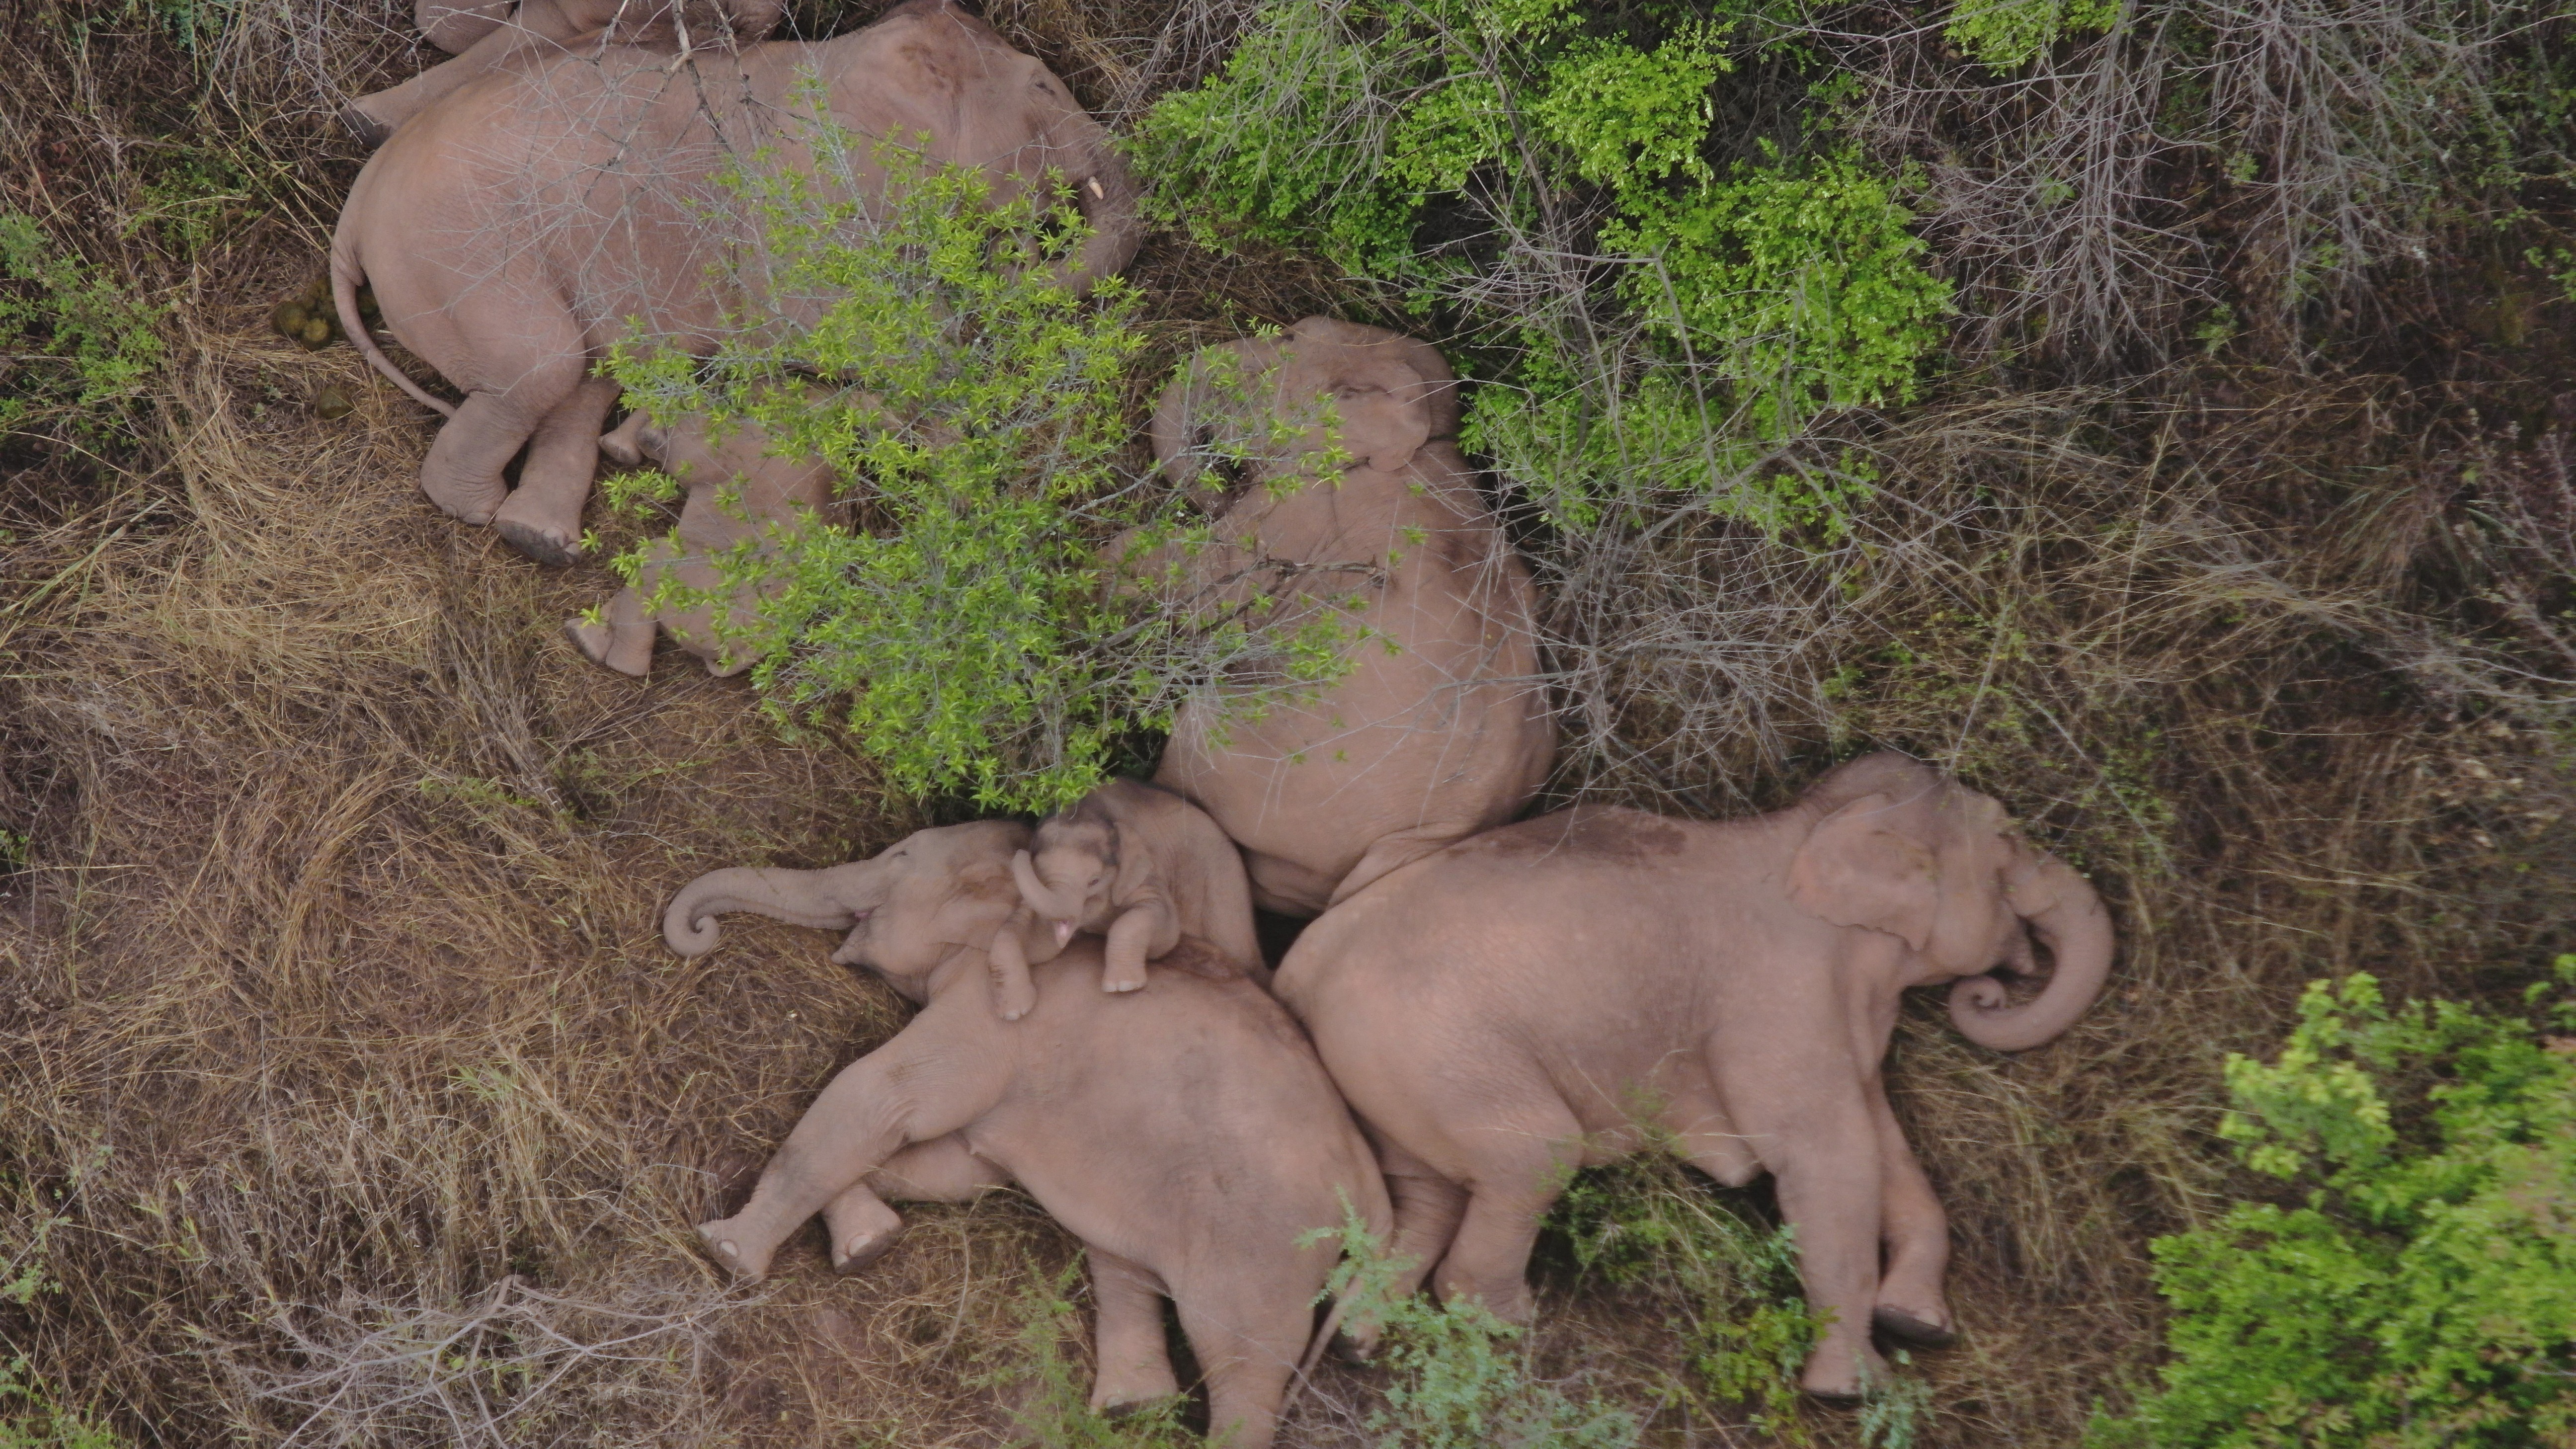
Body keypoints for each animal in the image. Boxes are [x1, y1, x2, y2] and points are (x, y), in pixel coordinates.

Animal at [663, 820, 1392, 1448]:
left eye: (899, 858)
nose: (702, 929)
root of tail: (1373, 1190)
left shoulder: (992, 1015)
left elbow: (882, 1095)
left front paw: (728, 1252)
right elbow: (958, 1168)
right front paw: (868, 1246)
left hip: (1265, 1249)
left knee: (1242, 1360)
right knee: (1121, 1260)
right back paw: (1131, 1408)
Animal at [990, 777, 1264, 1017]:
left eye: (1094, 881)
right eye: (1038, 874)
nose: (1019, 854)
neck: (1098, 814)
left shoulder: (1147, 869)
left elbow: (1164, 929)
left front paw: (1122, 987)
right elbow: (1025, 939)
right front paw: (1014, 1013)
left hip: (1223, 886)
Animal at [1135, 318, 1558, 917]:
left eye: (1287, 341)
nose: (1220, 486)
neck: (1428, 441)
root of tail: (1437, 836)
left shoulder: (1297, 516)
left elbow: (1194, 582)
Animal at [1270, 752, 2117, 1402]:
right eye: (2008, 837)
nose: (1992, 992)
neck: (1809, 827)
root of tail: (1298, 971)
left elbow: (1885, 1144)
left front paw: (1918, 1323)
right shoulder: (1775, 996)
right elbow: (1825, 1154)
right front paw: (1855, 1391)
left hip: (1395, 1073)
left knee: (1432, 1193)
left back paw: (1359, 1344)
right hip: (1428, 1045)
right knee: (1535, 1154)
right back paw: (1506, 1322)